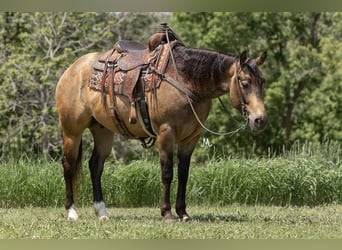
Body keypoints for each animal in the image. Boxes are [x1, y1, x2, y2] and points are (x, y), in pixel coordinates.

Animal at [55, 24, 268, 222]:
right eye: (244, 83)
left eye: (263, 81)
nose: (260, 120)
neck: (185, 80)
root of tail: (72, 69)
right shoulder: (166, 133)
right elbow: (167, 172)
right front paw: (167, 213)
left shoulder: (191, 138)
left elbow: (183, 174)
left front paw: (183, 213)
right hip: (72, 131)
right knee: (69, 165)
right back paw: (72, 211)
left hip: (103, 131)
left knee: (95, 166)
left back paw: (102, 212)